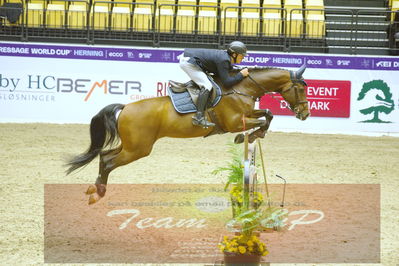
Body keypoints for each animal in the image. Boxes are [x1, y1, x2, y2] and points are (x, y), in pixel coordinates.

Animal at [65, 64, 310, 204]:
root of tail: (124, 108)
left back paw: (95, 189)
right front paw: (248, 136)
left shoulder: (248, 113)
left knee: (104, 156)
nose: (305, 114)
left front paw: (254, 135)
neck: (242, 88)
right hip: (138, 149)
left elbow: (267, 114)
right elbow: (262, 120)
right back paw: (98, 193)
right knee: (108, 161)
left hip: (132, 146)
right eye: (300, 89)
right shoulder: (234, 122)